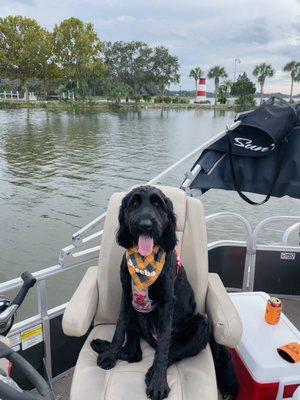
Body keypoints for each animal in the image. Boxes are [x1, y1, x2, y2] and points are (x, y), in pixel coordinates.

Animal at [91, 187, 239, 400]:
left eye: (158, 204)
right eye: (134, 203)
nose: (145, 225)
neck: (145, 262)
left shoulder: (167, 302)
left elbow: (163, 350)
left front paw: (159, 383)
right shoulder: (127, 296)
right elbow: (119, 330)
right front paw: (110, 354)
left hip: (201, 324)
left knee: (171, 352)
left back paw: (152, 372)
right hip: (136, 314)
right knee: (134, 354)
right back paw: (103, 346)